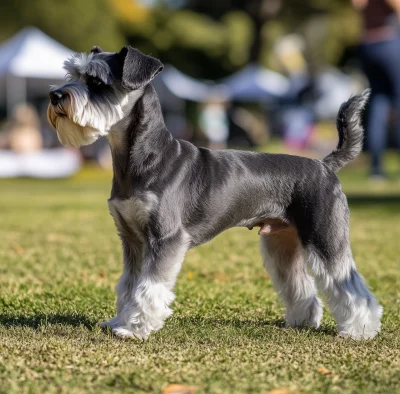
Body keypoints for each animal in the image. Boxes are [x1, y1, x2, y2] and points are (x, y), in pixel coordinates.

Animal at [48, 45, 382, 338]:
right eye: (71, 74)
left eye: (96, 81)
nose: (54, 95)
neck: (140, 159)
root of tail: (324, 165)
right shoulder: (131, 239)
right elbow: (128, 284)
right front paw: (119, 320)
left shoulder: (165, 238)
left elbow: (149, 287)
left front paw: (134, 329)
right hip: (282, 244)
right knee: (300, 285)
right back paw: (303, 321)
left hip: (325, 239)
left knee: (350, 286)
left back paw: (360, 330)